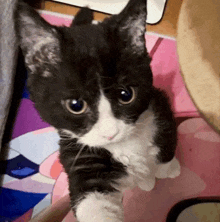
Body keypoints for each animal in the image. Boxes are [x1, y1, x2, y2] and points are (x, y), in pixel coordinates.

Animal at [15, 0, 180, 221]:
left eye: (126, 94)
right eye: (75, 105)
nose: (111, 133)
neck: (125, 145)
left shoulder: (159, 105)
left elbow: (167, 141)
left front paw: (167, 169)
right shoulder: (78, 155)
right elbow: (93, 201)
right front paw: (151, 179)